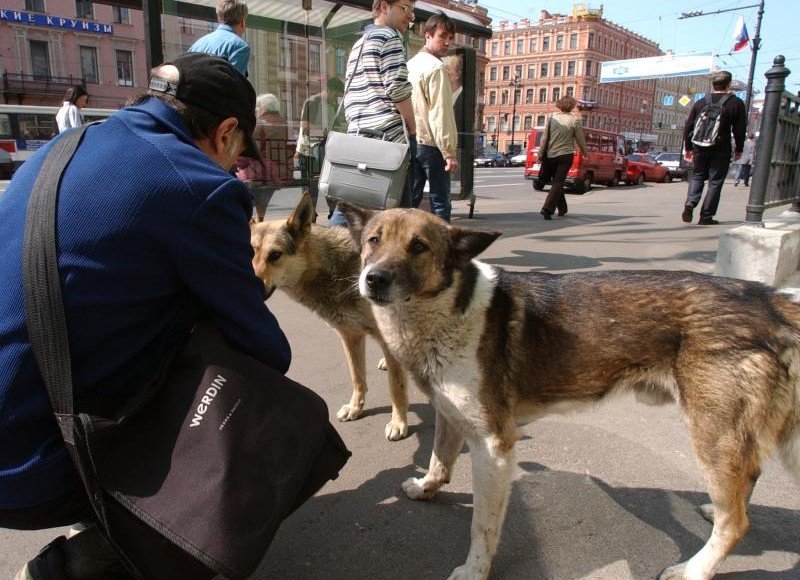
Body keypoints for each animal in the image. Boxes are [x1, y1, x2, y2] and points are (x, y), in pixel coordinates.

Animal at [250, 195, 410, 440]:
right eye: (250, 253)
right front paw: (355, 408)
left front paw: (398, 422)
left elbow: (396, 386)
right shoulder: (350, 336)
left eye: (274, 255)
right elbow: (358, 378)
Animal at [340, 204, 800, 580]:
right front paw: (425, 488)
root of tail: (769, 299)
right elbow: (439, 460)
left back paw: (694, 569)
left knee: (736, 522)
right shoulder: (451, 414)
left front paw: (474, 570)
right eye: (374, 240)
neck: (447, 310)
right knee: (743, 489)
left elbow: (482, 526)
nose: (373, 279)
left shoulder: (494, 445)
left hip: (711, 433)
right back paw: (712, 511)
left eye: (418, 246)